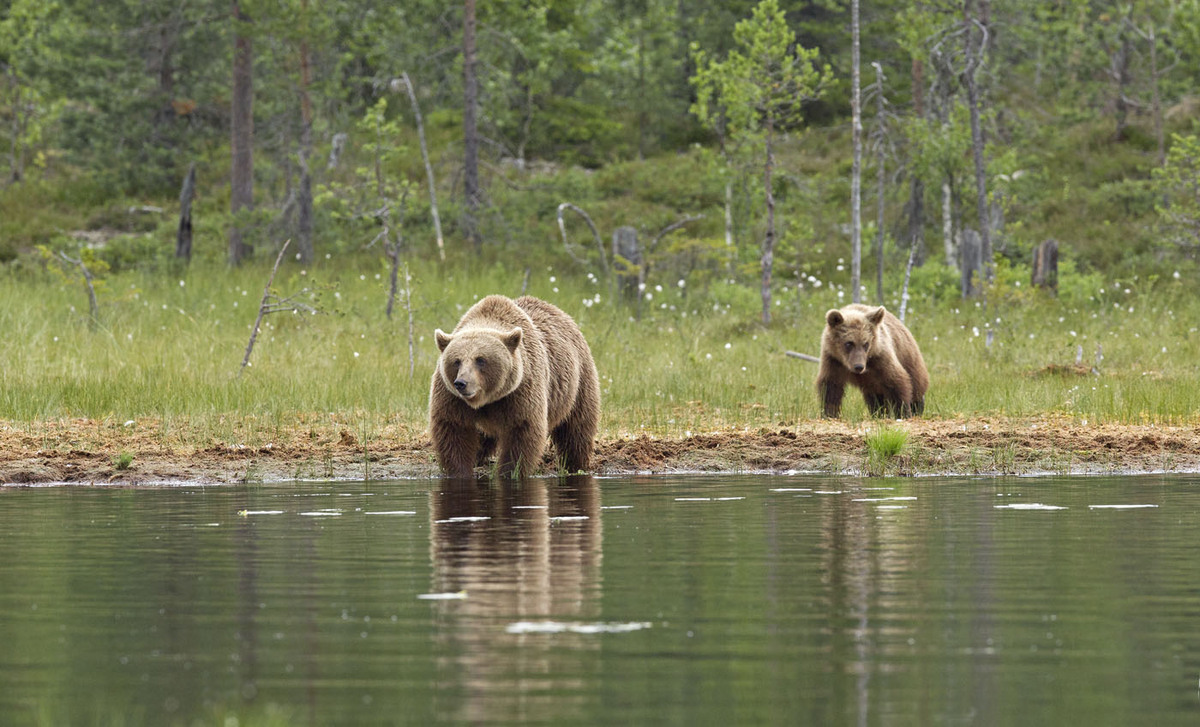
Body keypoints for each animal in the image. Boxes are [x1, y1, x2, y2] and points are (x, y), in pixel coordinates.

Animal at [429, 294, 601, 479]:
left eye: (480, 360)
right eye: (456, 361)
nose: (461, 383)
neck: (488, 399)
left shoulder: (521, 390)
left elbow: (521, 431)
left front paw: (510, 471)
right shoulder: (451, 396)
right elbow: (453, 428)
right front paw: (460, 471)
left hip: (579, 382)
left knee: (576, 429)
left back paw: (575, 465)